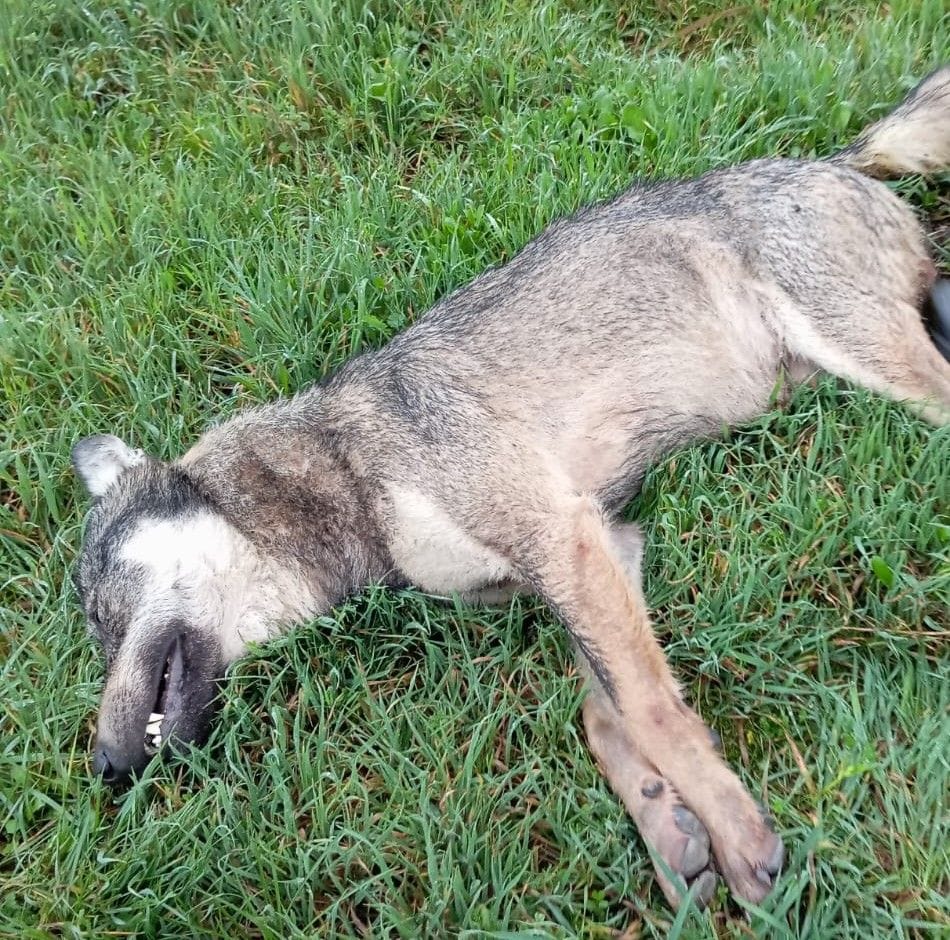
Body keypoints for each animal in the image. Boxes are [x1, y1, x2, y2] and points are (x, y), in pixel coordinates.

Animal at [71, 68, 950, 911]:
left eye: (98, 613)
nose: (104, 768)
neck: (343, 466)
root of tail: (838, 160)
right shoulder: (601, 548)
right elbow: (605, 714)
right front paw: (671, 832)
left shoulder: (563, 538)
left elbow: (649, 710)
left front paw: (736, 831)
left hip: (880, 366)